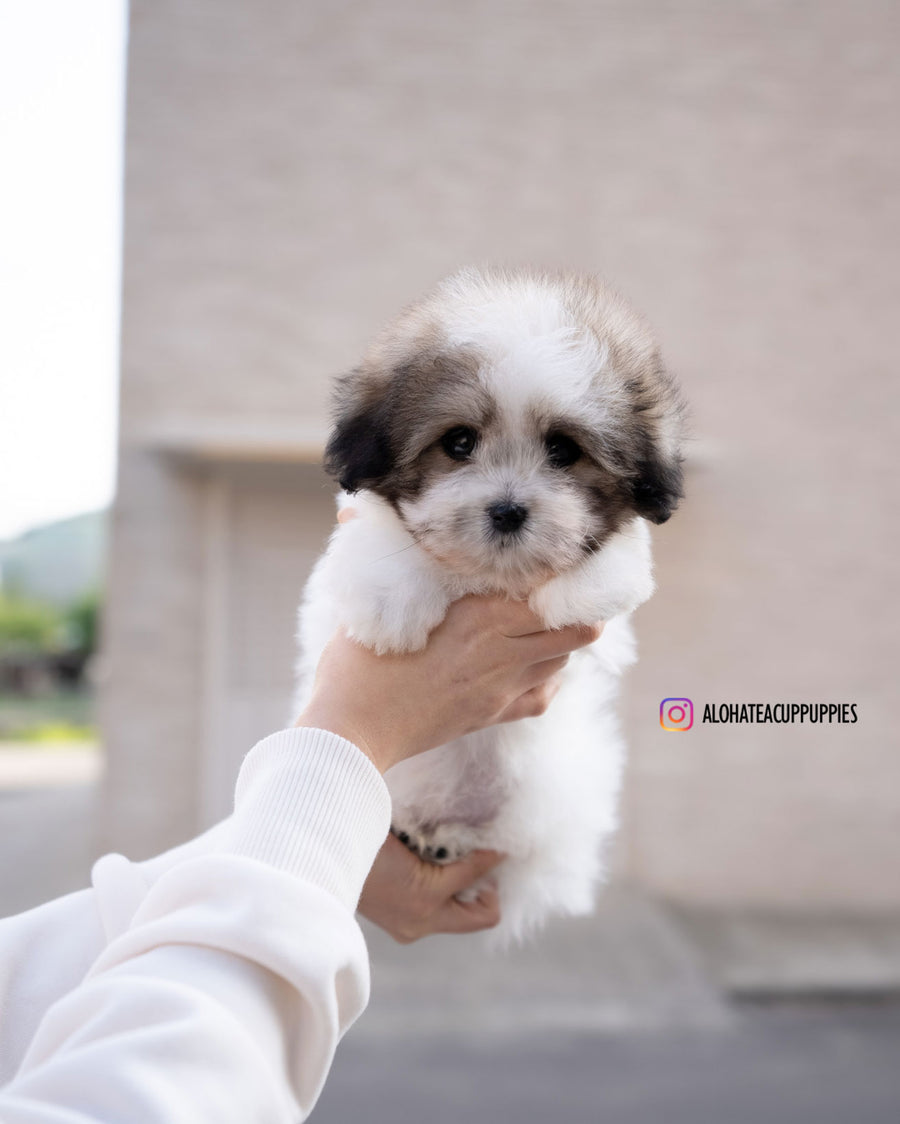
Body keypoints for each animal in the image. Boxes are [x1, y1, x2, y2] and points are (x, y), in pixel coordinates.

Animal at [294, 267, 683, 944]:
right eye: (458, 442)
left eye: (564, 450)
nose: (507, 510)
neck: (489, 578)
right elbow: (380, 536)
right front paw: (392, 606)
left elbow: (621, 556)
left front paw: (576, 587)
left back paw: (447, 841)